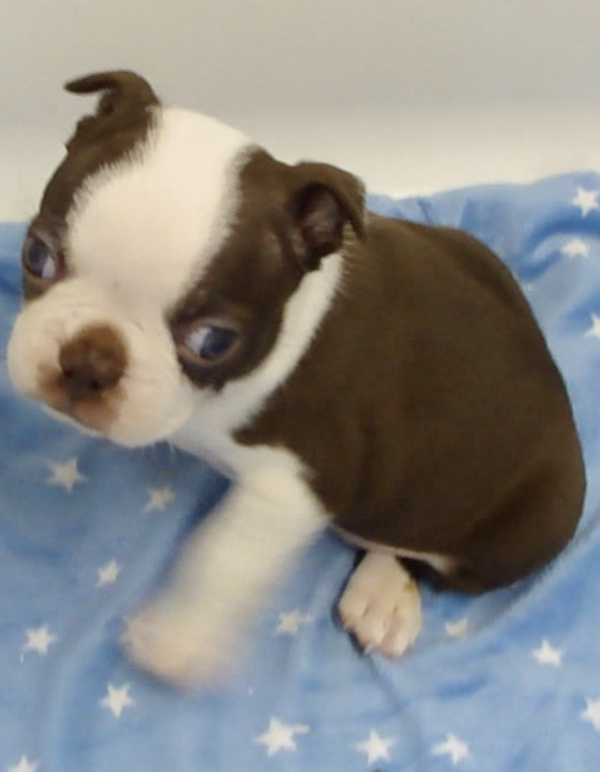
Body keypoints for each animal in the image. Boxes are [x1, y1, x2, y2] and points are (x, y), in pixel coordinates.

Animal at [7, 71, 586, 687]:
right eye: (35, 255)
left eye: (212, 341)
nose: (88, 363)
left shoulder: (301, 480)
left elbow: (226, 553)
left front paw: (179, 637)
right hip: (475, 249)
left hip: (530, 524)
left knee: (427, 558)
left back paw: (385, 593)